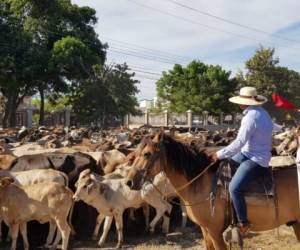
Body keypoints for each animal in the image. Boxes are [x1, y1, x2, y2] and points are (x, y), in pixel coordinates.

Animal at [125, 132, 300, 249]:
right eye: (135, 154)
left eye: (147, 154)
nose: (129, 182)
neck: (201, 182)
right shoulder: (206, 230)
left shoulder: (215, 231)